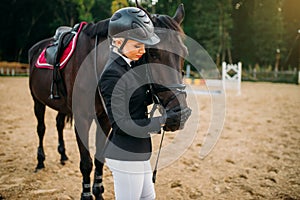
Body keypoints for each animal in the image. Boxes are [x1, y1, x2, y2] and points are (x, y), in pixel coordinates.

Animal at [27, 3, 188, 200]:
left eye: (184, 53)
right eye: (153, 53)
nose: (180, 113)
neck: (95, 65)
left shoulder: (104, 119)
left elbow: (99, 158)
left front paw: (98, 192)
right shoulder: (82, 119)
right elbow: (86, 162)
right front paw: (86, 195)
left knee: (58, 124)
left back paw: (63, 156)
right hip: (37, 101)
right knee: (41, 129)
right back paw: (40, 162)